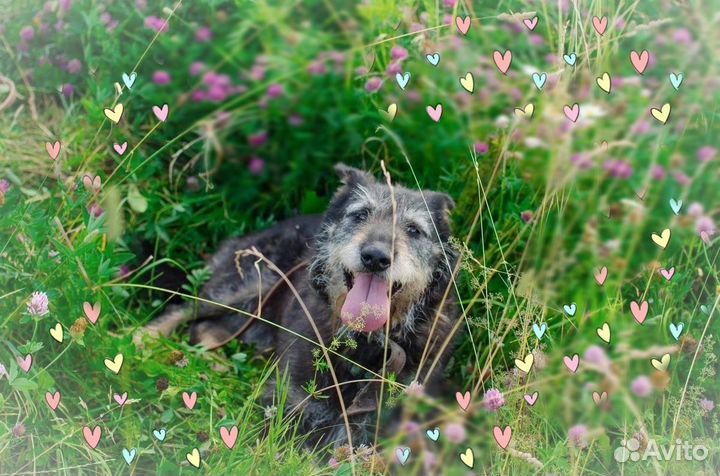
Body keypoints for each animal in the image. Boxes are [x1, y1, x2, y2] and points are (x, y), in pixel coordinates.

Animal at [138, 164, 458, 446]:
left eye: (414, 230)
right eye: (360, 214)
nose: (376, 257)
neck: (364, 342)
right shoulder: (287, 402)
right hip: (245, 285)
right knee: (184, 310)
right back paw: (145, 339)